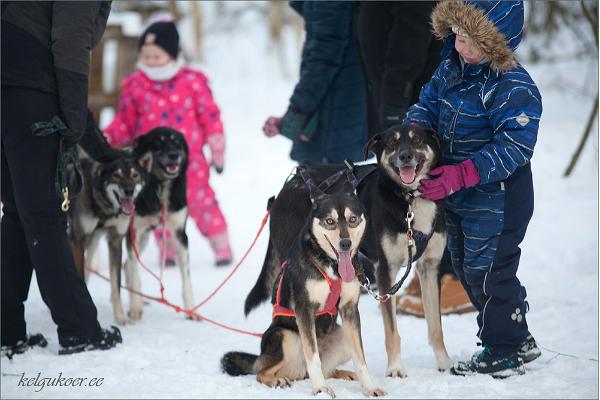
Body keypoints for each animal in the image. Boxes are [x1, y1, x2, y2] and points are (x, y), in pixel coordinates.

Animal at [220, 189, 384, 398]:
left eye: (352, 219)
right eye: (330, 221)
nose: (345, 243)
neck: (331, 266)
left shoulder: (349, 310)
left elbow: (360, 358)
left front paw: (369, 388)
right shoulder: (304, 309)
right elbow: (313, 358)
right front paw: (321, 389)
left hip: (342, 337)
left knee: (328, 369)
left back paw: (346, 373)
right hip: (286, 336)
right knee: (262, 372)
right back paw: (277, 380)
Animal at [246, 125, 452, 378]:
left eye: (417, 140)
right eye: (392, 144)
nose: (405, 156)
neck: (409, 202)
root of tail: (287, 186)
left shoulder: (430, 267)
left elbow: (436, 326)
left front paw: (445, 363)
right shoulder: (386, 271)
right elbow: (392, 331)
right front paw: (395, 368)